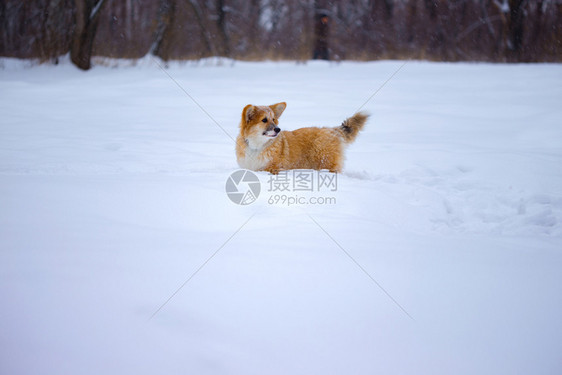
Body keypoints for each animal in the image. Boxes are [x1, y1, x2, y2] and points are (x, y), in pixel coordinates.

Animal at [233, 102, 368, 174]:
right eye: (264, 120)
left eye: (274, 119)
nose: (278, 129)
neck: (257, 146)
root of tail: (332, 130)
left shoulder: (273, 168)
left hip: (325, 163)